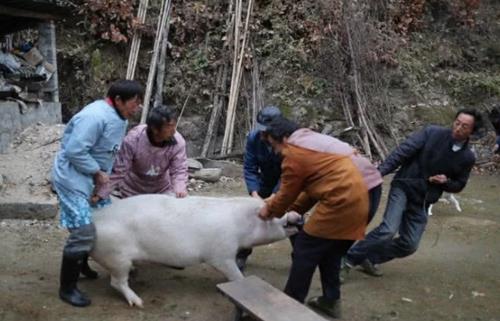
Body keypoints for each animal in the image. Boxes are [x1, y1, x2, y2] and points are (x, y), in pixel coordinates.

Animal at [90, 194, 300, 306]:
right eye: (277, 215)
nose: (297, 215)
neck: (241, 226)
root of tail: (94, 219)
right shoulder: (221, 254)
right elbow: (235, 275)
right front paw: (238, 286)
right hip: (116, 256)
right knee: (116, 282)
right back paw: (139, 302)